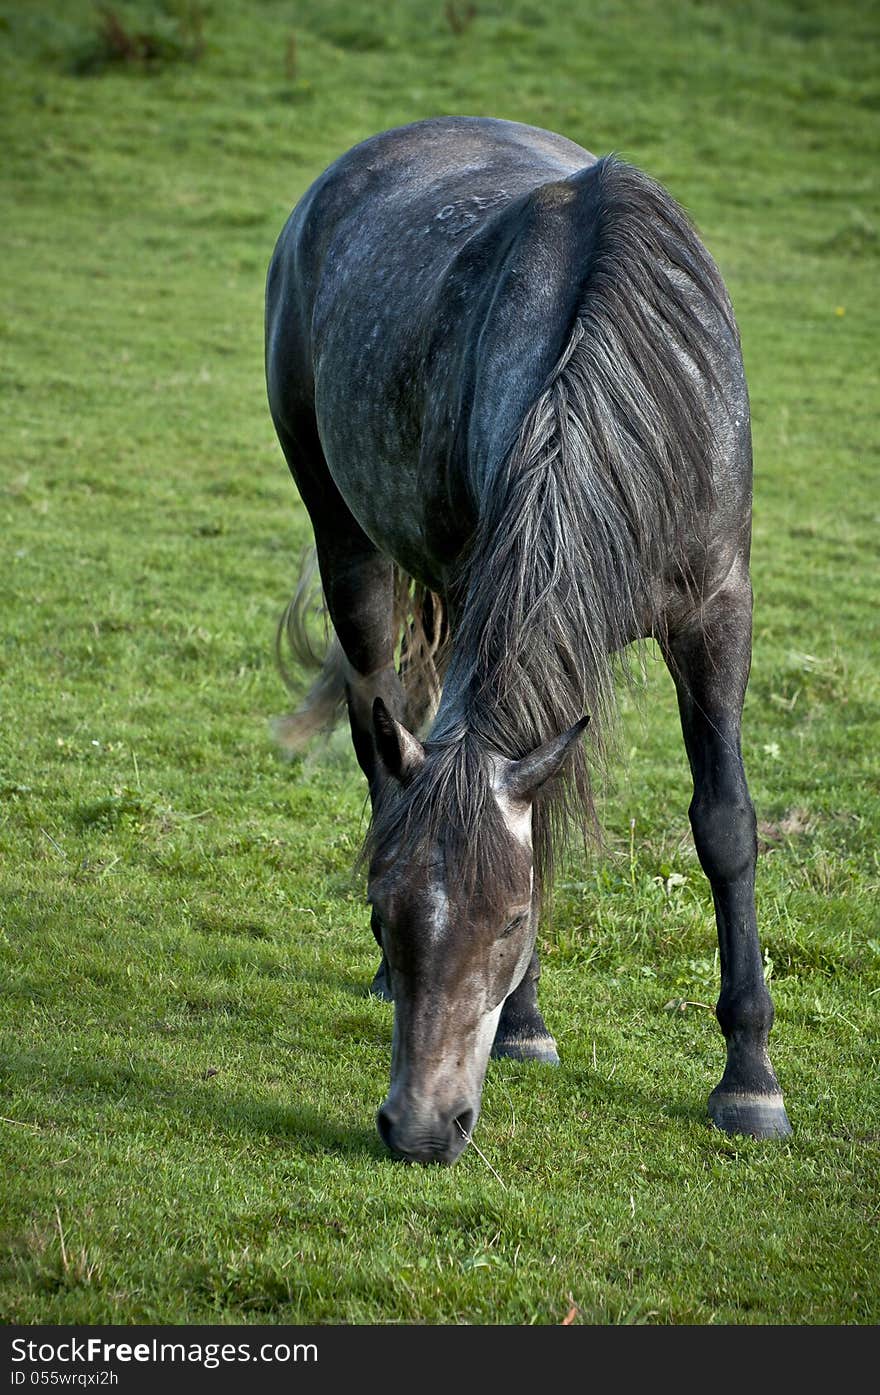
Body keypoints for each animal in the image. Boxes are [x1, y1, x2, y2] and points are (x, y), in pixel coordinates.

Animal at [264, 117, 797, 1166]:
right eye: (384, 909)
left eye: (513, 916)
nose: (420, 1127)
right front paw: (527, 1025)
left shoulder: (719, 611)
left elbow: (725, 824)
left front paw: (750, 1080)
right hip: (349, 547)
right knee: (375, 730)